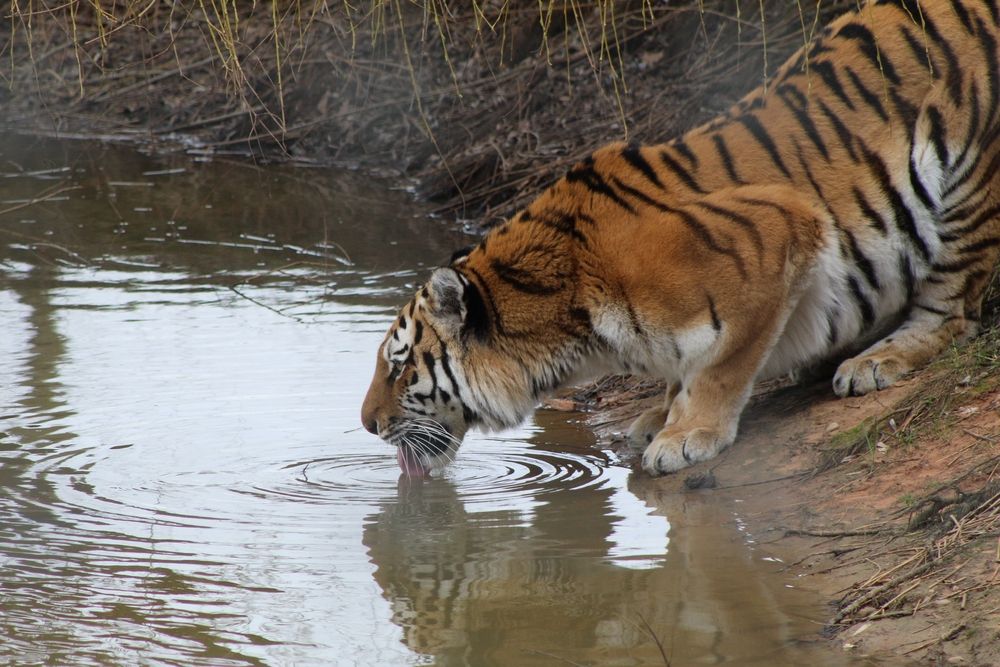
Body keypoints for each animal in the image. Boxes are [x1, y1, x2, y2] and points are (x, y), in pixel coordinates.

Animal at [362, 0, 1000, 476]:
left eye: (399, 367)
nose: (368, 423)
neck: (571, 323)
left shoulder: (778, 229)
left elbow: (722, 362)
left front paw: (688, 434)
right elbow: (685, 369)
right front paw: (657, 418)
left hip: (966, 179)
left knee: (953, 314)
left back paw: (875, 360)